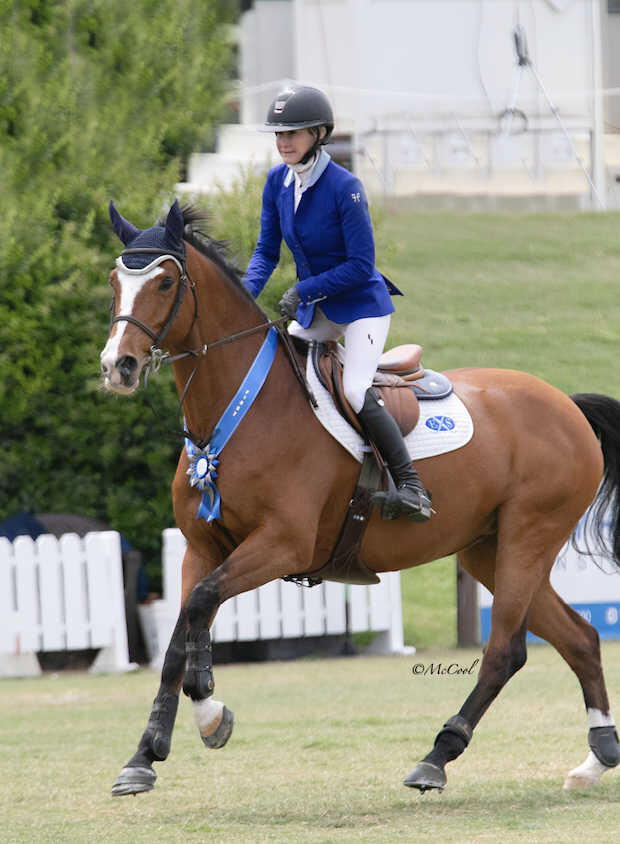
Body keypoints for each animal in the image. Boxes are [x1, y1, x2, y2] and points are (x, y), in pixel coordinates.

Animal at [99, 199, 616, 796]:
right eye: (115, 281)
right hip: (487, 549)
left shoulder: (283, 545)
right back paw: (597, 757)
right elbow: (179, 635)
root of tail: (567, 404)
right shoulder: (204, 547)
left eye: (164, 282)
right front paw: (147, 753)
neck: (239, 410)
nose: (117, 367)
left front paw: (206, 710)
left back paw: (437, 756)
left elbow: (202, 605)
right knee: (579, 637)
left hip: (528, 537)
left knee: (505, 651)